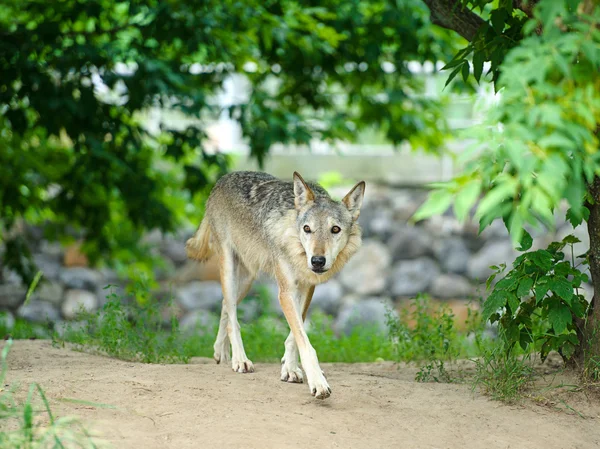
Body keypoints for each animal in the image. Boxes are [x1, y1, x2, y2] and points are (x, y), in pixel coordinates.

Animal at [186, 170, 366, 398]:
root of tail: (223, 179)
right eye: (307, 229)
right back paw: (240, 359)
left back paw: (221, 352)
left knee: (225, 305)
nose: (317, 261)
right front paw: (317, 381)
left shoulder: (307, 288)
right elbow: (305, 342)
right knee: (233, 317)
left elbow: (294, 336)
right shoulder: (286, 292)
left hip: (246, 280)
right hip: (229, 268)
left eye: (335, 229)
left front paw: (290, 367)